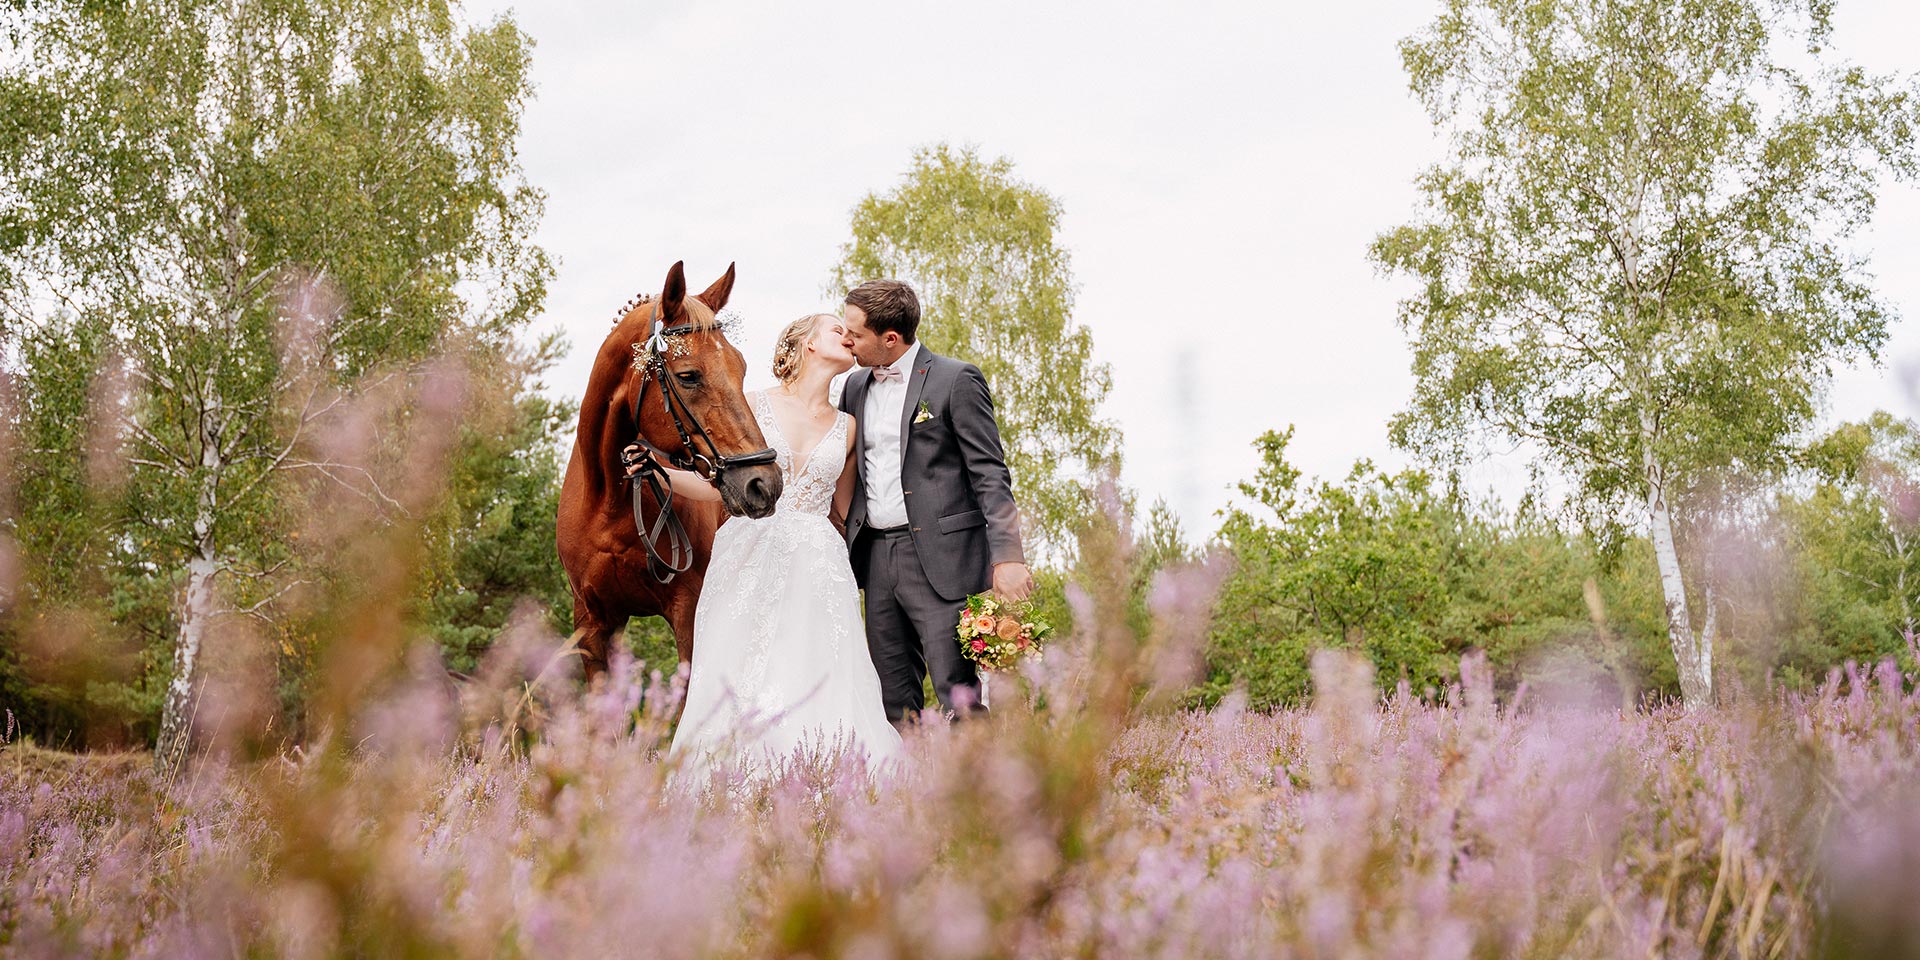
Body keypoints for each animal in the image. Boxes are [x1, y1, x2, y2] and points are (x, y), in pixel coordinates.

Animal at [556, 263, 779, 679]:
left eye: (740, 368)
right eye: (688, 375)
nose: (763, 484)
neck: (609, 502)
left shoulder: (688, 611)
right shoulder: (593, 623)